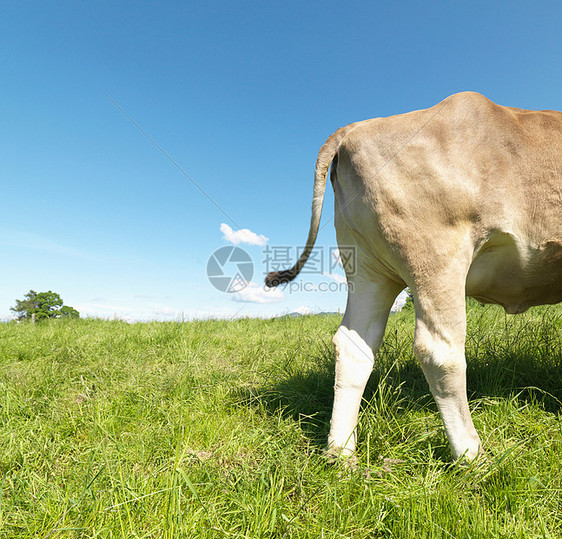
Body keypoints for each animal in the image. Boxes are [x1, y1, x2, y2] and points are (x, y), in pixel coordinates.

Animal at [264, 92, 560, 460]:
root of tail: (352, 129)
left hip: (368, 268)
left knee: (353, 346)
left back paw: (342, 453)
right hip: (436, 255)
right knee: (440, 350)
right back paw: (469, 453)